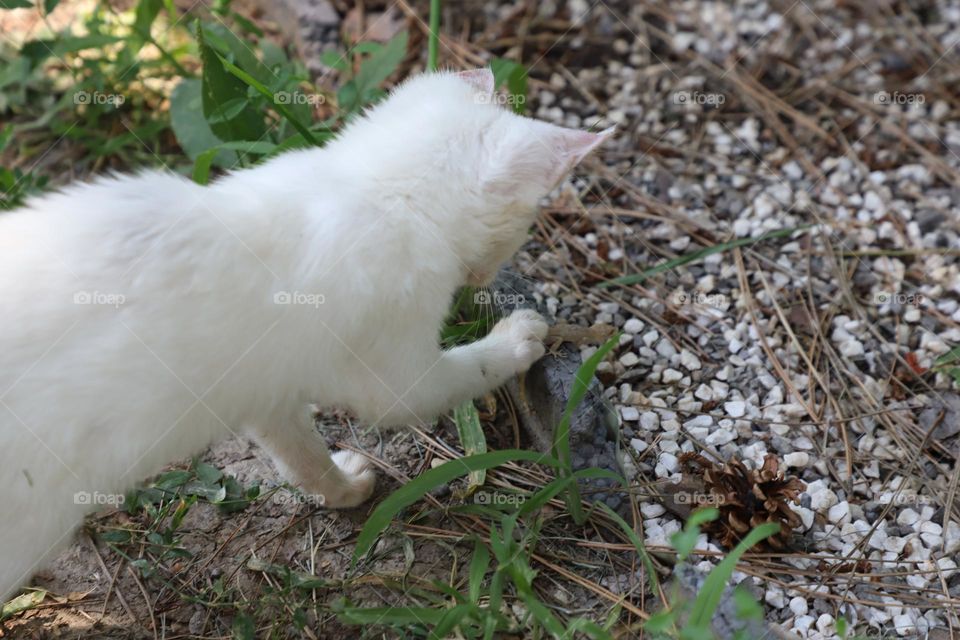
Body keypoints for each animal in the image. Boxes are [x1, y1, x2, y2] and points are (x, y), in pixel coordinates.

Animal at [0, 70, 612, 600]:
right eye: (527, 226)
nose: (488, 279)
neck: (377, 189)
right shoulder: (396, 376)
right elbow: (461, 372)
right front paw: (520, 337)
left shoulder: (265, 391)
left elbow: (302, 456)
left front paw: (341, 491)